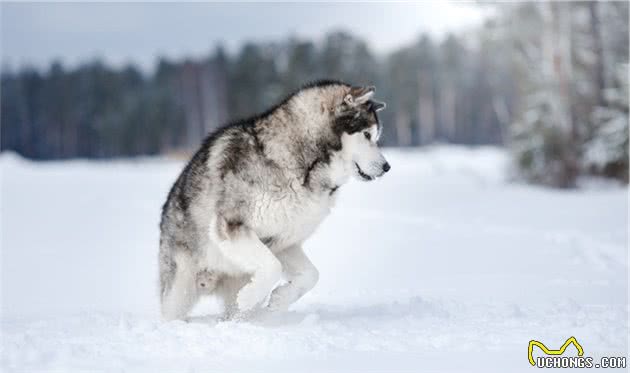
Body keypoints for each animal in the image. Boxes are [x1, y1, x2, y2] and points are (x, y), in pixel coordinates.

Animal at [158, 80, 390, 318]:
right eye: (367, 135)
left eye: (376, 136)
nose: (386, 167)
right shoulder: (232, 225)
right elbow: (273, 267)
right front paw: (250, 296)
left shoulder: (283, 241)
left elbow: (312, 275)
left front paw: (280, 300)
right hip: (180, 287)